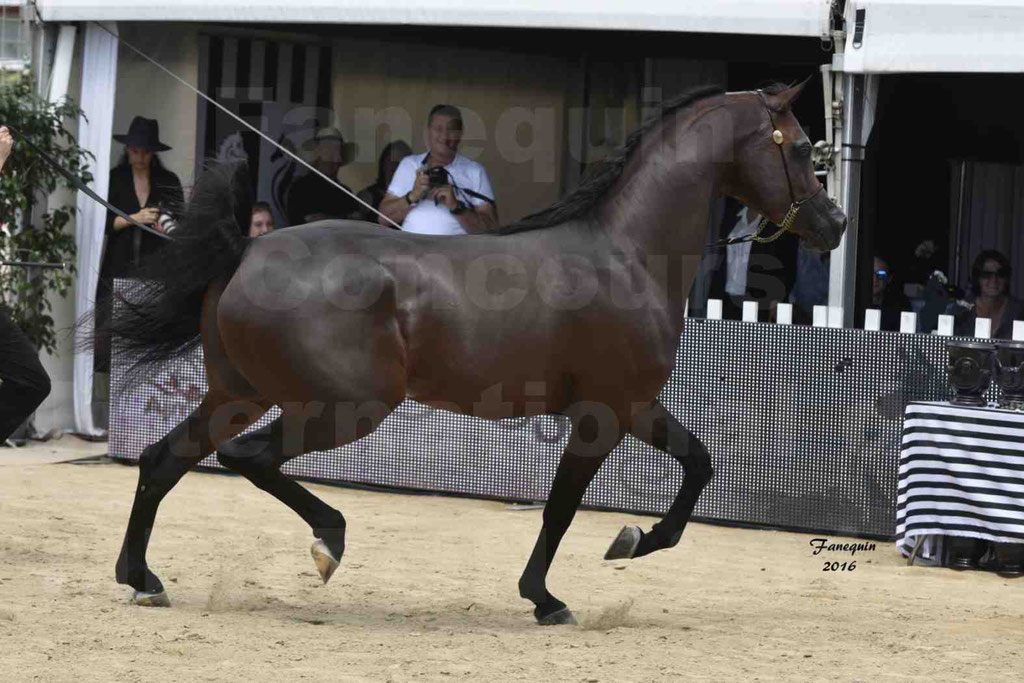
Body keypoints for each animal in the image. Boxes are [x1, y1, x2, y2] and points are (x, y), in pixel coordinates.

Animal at [103, 81, 843, 626]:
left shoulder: (635, 405)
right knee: (246, 458)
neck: (626, 254)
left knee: (163, 460)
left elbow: (699, 463)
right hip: (342, 408)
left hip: (239, 392)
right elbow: (562, 506)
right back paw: (328, 542)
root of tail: (247, 250)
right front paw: (551, 596)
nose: (833, 225)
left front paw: (631, 542)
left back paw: (143, 578)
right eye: (804, 147)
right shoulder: (605, 412)